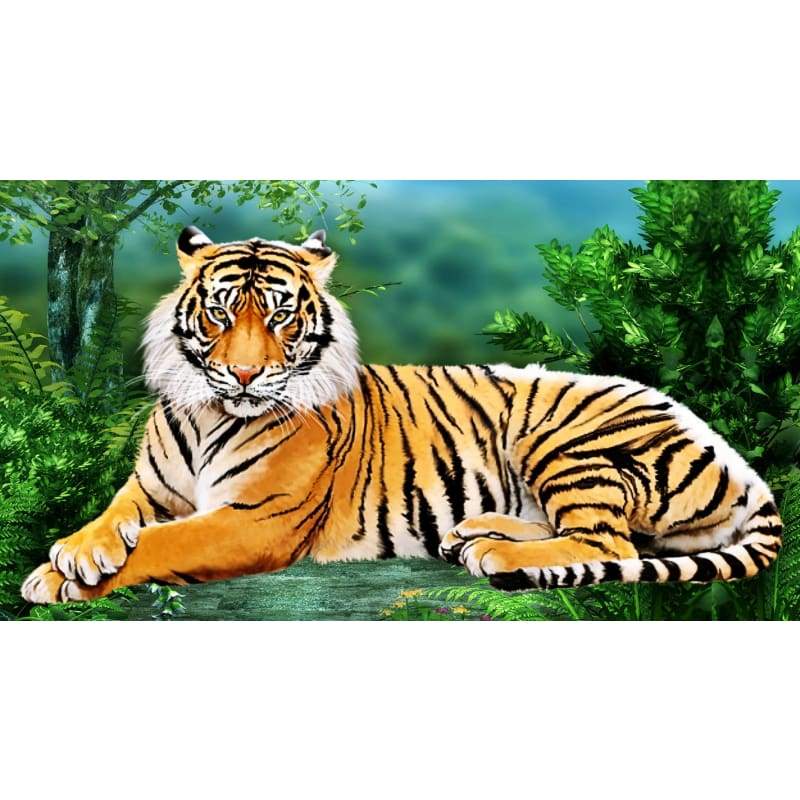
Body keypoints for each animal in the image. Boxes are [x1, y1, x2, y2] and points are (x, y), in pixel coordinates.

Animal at [21, 225, 783, 605]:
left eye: (280, 315)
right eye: (220, 311)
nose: (243, 374)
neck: (211, 414)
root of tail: (741, 465)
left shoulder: (254, 519)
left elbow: (163, 544)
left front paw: (58, 577)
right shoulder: (148, 489)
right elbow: (115, 520)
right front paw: (75, 551)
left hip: (565, 434)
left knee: (611, 543)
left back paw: (497, 552)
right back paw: (475, 532)